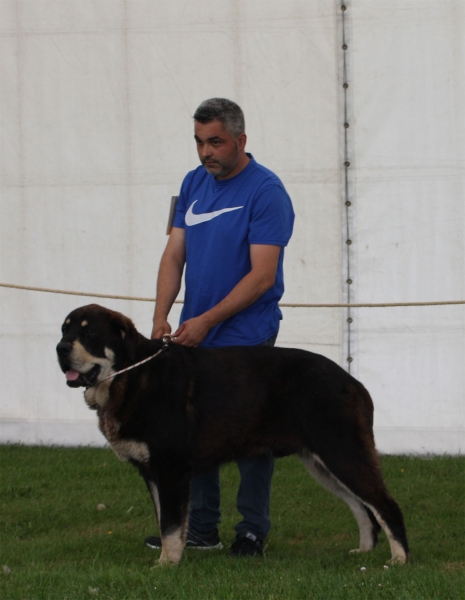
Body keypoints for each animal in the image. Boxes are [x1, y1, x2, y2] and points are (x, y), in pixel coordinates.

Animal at [56, 304, 408, 568]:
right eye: (64, 330)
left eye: (90, 333)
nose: (60, 348)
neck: (130, 375)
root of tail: (352, 382)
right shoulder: (152, 472)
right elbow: (167, 521)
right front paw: (175, 556)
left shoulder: (170, 470)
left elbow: (170, 523)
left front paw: (167, 565)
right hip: (322, 463)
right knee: (362, 508)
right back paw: (364, 551)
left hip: (342, 451)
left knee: (385, 505)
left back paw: (399, 559)